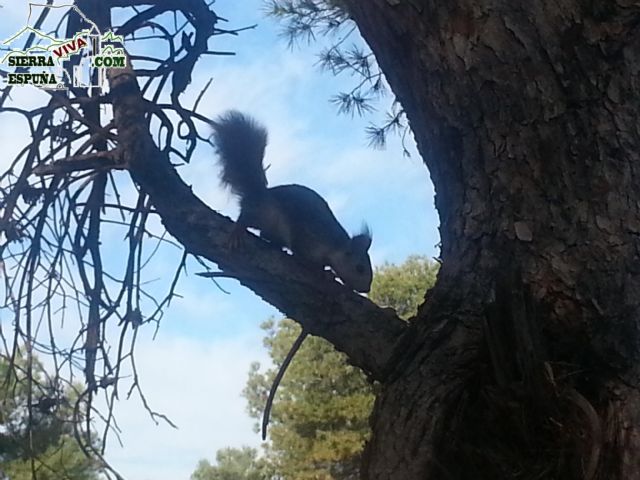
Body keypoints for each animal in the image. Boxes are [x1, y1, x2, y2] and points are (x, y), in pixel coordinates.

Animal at [210, 110, 376, 294]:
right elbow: (304, 258)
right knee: (246, 216)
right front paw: (325, 272)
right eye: (359, 268)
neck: (334, 245)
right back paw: (238, 231)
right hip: (263, 213)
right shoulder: (308, 240)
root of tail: (259, 194)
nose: (366, 289)